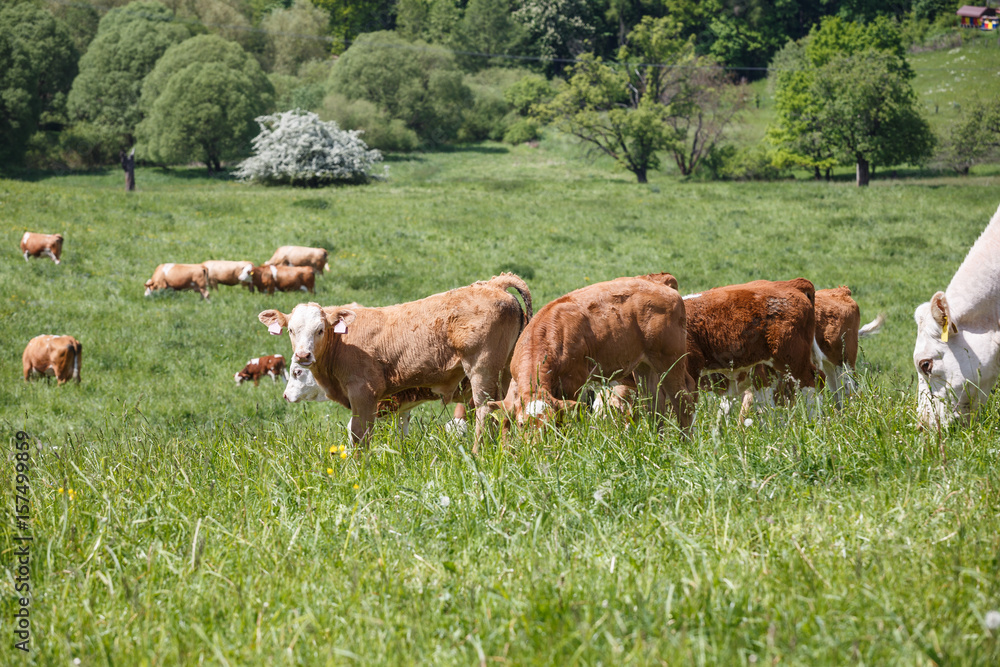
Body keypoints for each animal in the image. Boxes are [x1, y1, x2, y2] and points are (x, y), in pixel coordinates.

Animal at [486, 276, 696, 434]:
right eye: (522, 424)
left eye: (549, 424)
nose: (537, 446)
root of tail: (662, 285)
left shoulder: (573, 383)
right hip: (644, 367)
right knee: (654, 403)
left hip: (670, 362)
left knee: (683, 401)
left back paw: (686, 443)